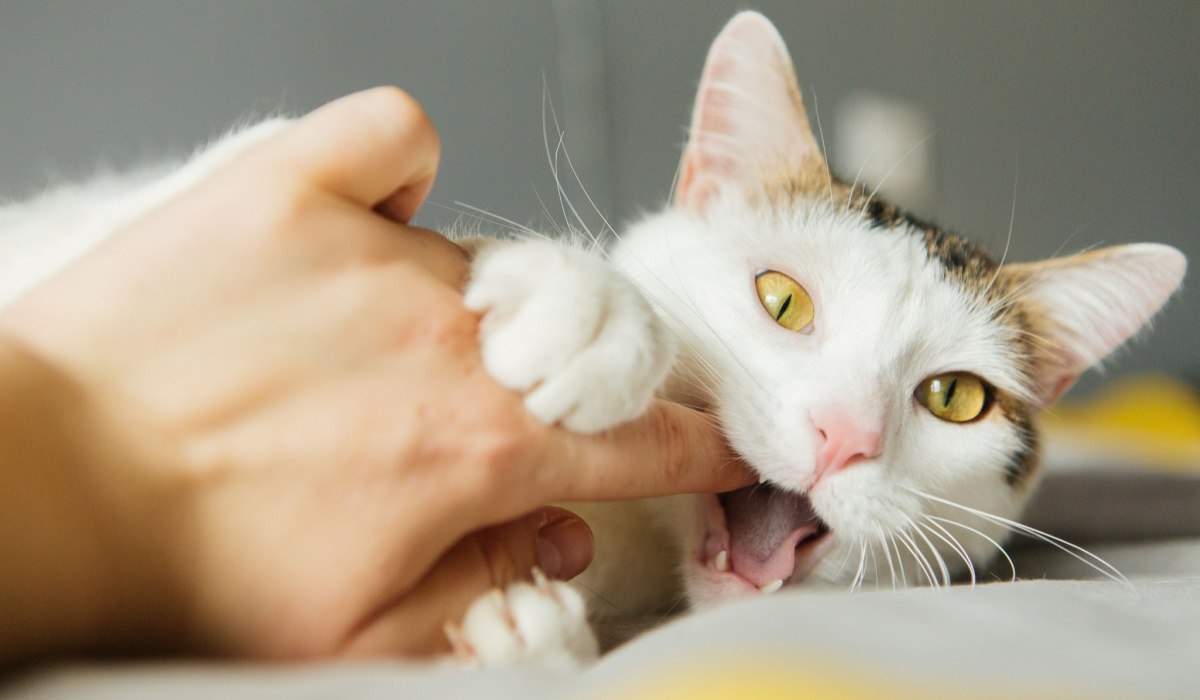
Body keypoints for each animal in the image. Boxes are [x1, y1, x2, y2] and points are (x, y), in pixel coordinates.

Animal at [0, 8, 1180, 672]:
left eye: (956, 399)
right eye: (782, 301)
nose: (843, 435)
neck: (631, 548)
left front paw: (518, 636)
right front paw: (595, 306)